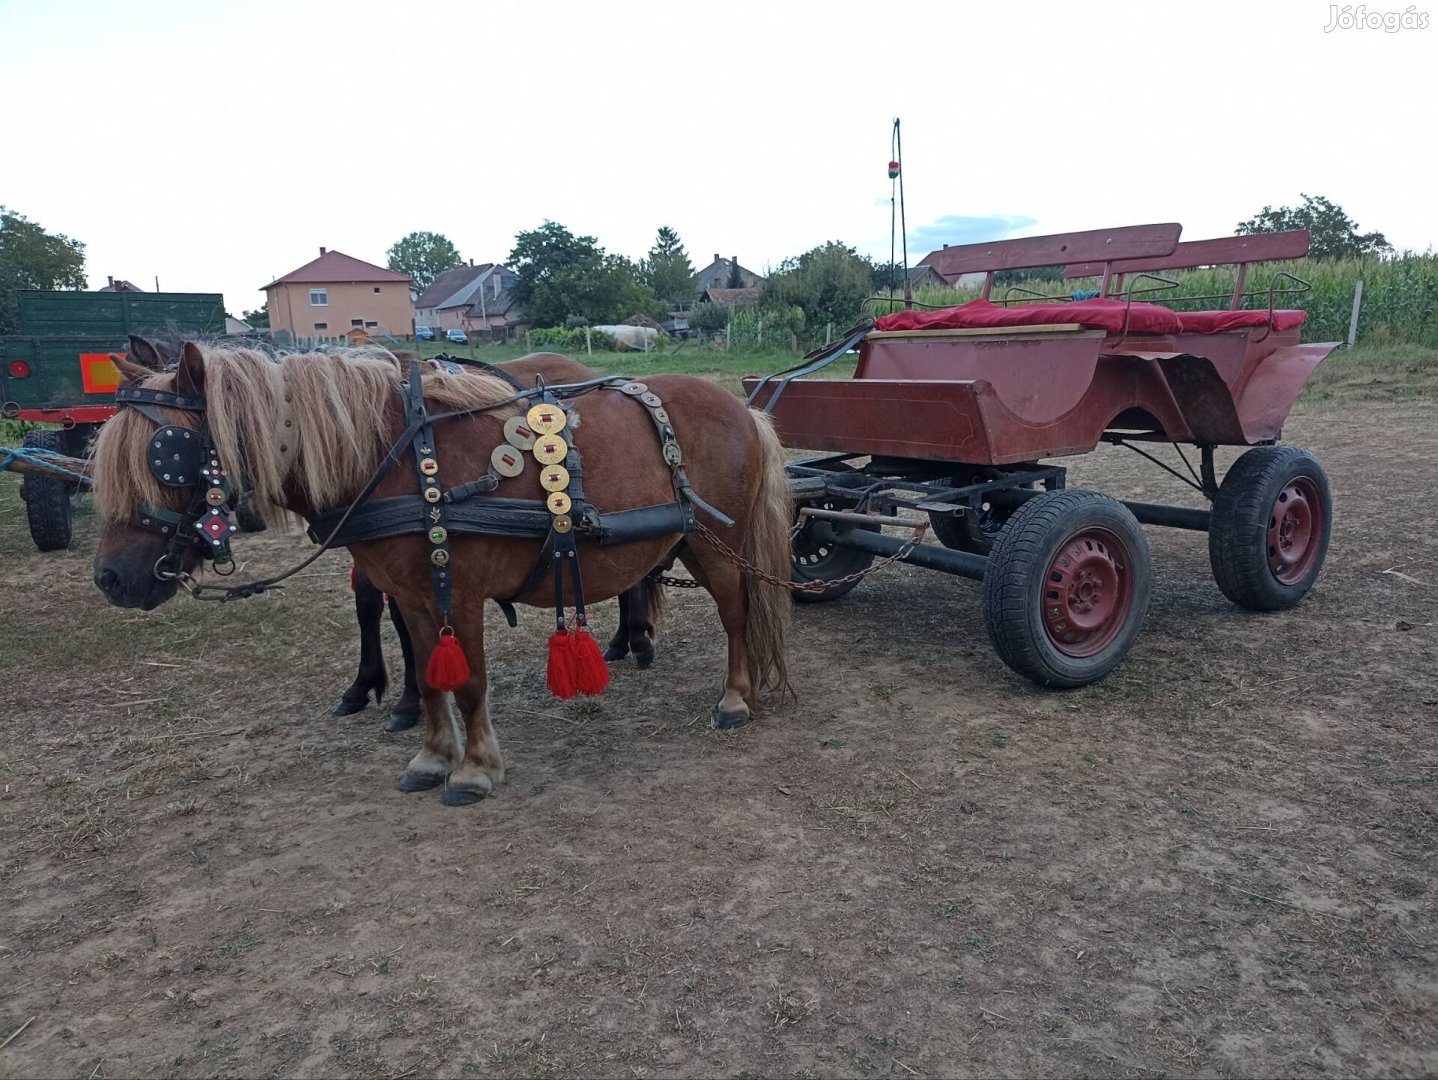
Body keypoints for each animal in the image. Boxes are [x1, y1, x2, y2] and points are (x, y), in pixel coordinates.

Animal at [92, 342, 788, 805]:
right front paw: (431, 757)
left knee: (736, 613)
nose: (111, 579)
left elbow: (471, 680)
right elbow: (429, 676)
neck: (393, 459)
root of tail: (742, 408)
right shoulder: (412, 594)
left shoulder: (464, 591)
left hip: (716, 545)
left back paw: (734, 697)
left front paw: (475, 768)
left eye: (166, 455)